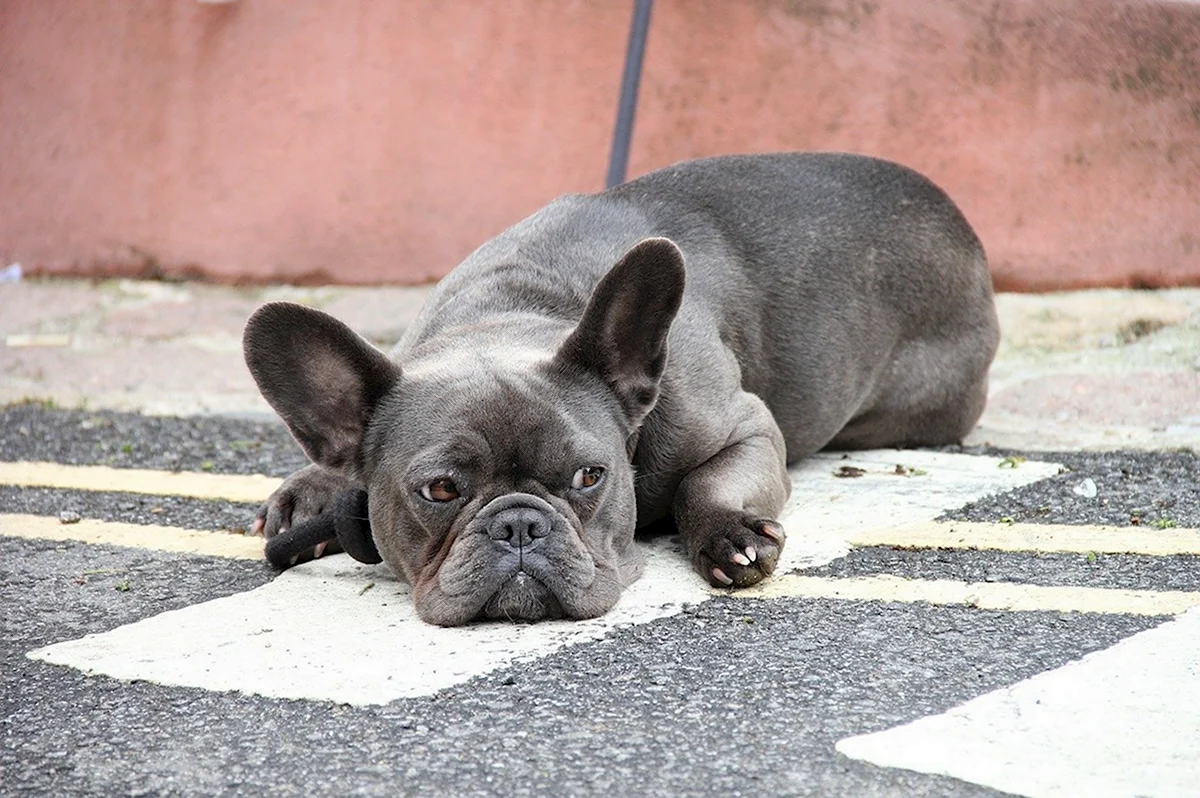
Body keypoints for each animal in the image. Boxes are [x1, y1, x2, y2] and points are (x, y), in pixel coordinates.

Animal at [241, 152, 993, 624]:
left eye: (590, 477)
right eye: (441, 490)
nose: (520, 524)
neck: (510, 313)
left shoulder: (749, 427)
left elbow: (704, 482)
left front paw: (730, 535)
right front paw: (318, 486)